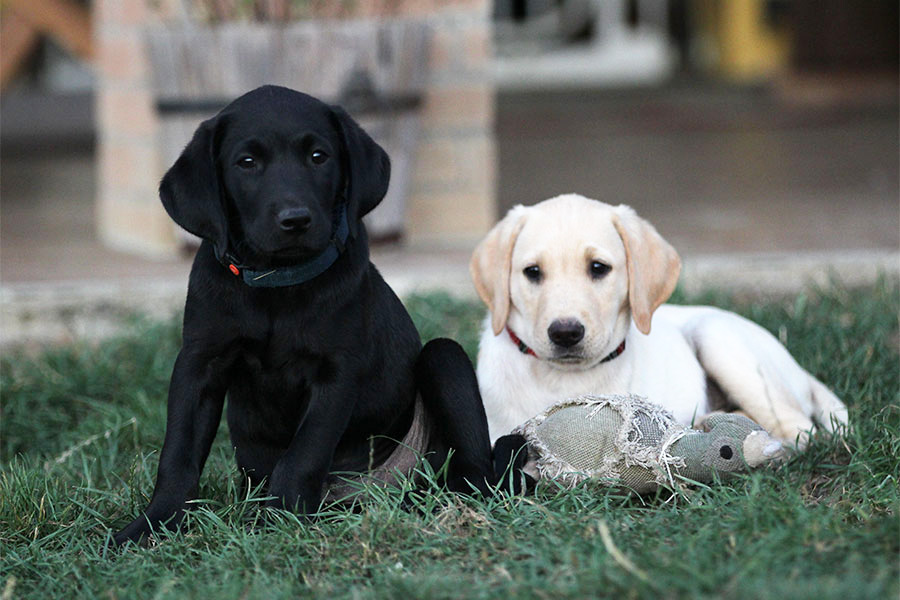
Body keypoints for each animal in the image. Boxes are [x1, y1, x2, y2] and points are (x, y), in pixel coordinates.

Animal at [113, 86, 495, 546]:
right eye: (247, 163)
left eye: (318, 156)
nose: (295, 219)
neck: (278, 283)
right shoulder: (198, 364)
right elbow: (178, 454)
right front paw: (153, 524)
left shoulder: (336, 373)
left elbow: (303, 454)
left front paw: (280, 520)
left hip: (444, 360)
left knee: (476, 469)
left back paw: (447, 504)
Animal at [471, 194, 848, 455]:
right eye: (532, 272)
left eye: (598, 268)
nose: (565, 332)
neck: (562, 379)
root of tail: (799, 370)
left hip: (717, 336)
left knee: (798, 431)